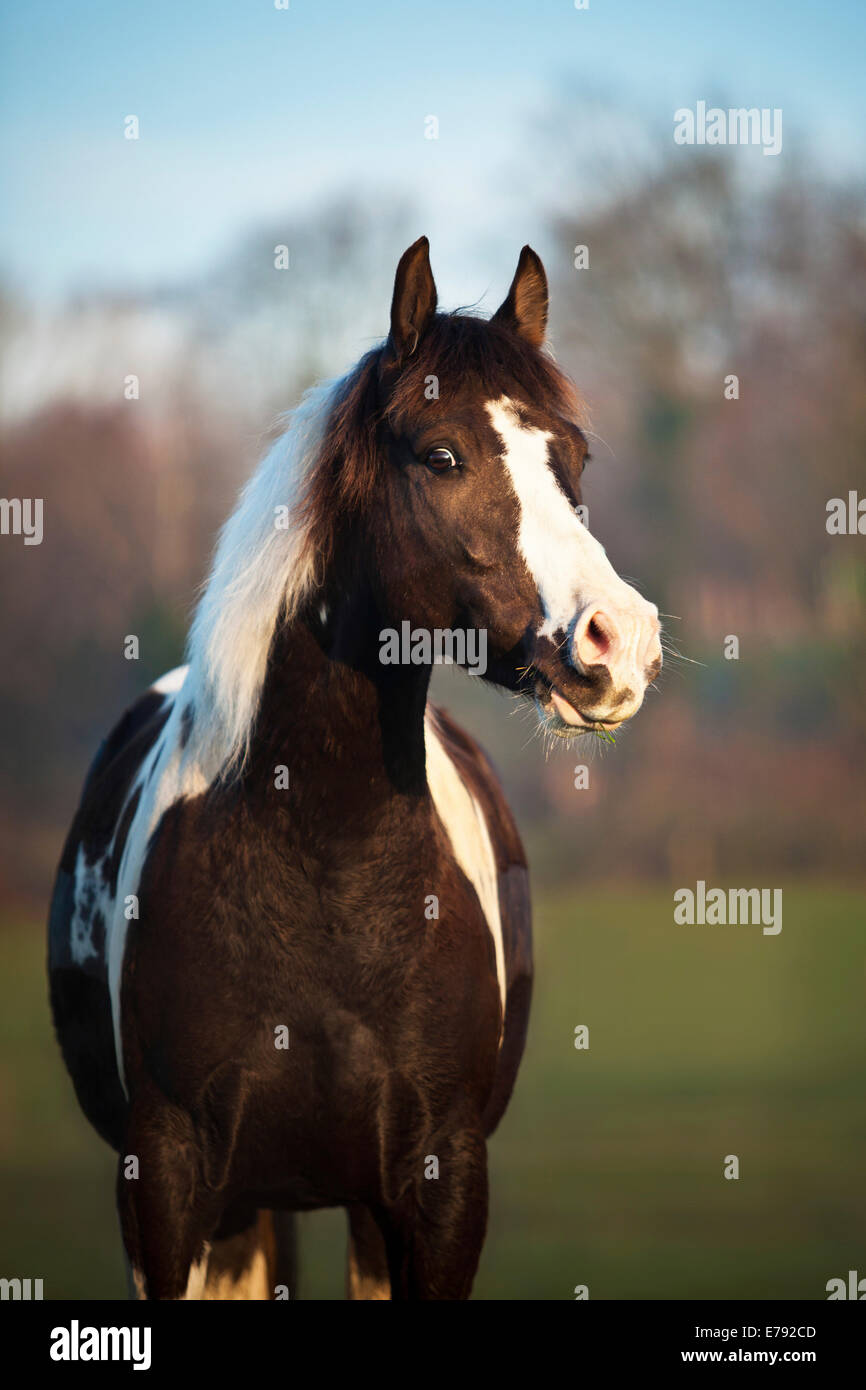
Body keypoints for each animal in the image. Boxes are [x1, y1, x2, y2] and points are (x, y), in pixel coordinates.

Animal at [48, 238, 662, 1300]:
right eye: (442, 455)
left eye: (573, 462)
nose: (617, 641)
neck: (324, 854)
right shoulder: (163, 1185)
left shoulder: (439, 1188)